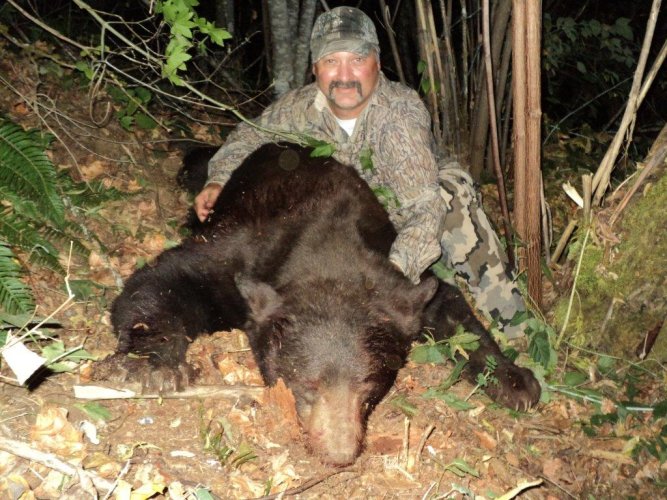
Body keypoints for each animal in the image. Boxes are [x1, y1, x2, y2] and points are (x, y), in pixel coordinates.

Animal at [97, 142, 540, 465]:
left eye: (369, 387)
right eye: (306, 384)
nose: (339, 454)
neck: (329, 249)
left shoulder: (396, 280)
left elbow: (446, 303)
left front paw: (514, 381)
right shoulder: (245, 252)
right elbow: (169, 276)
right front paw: (151, 365)